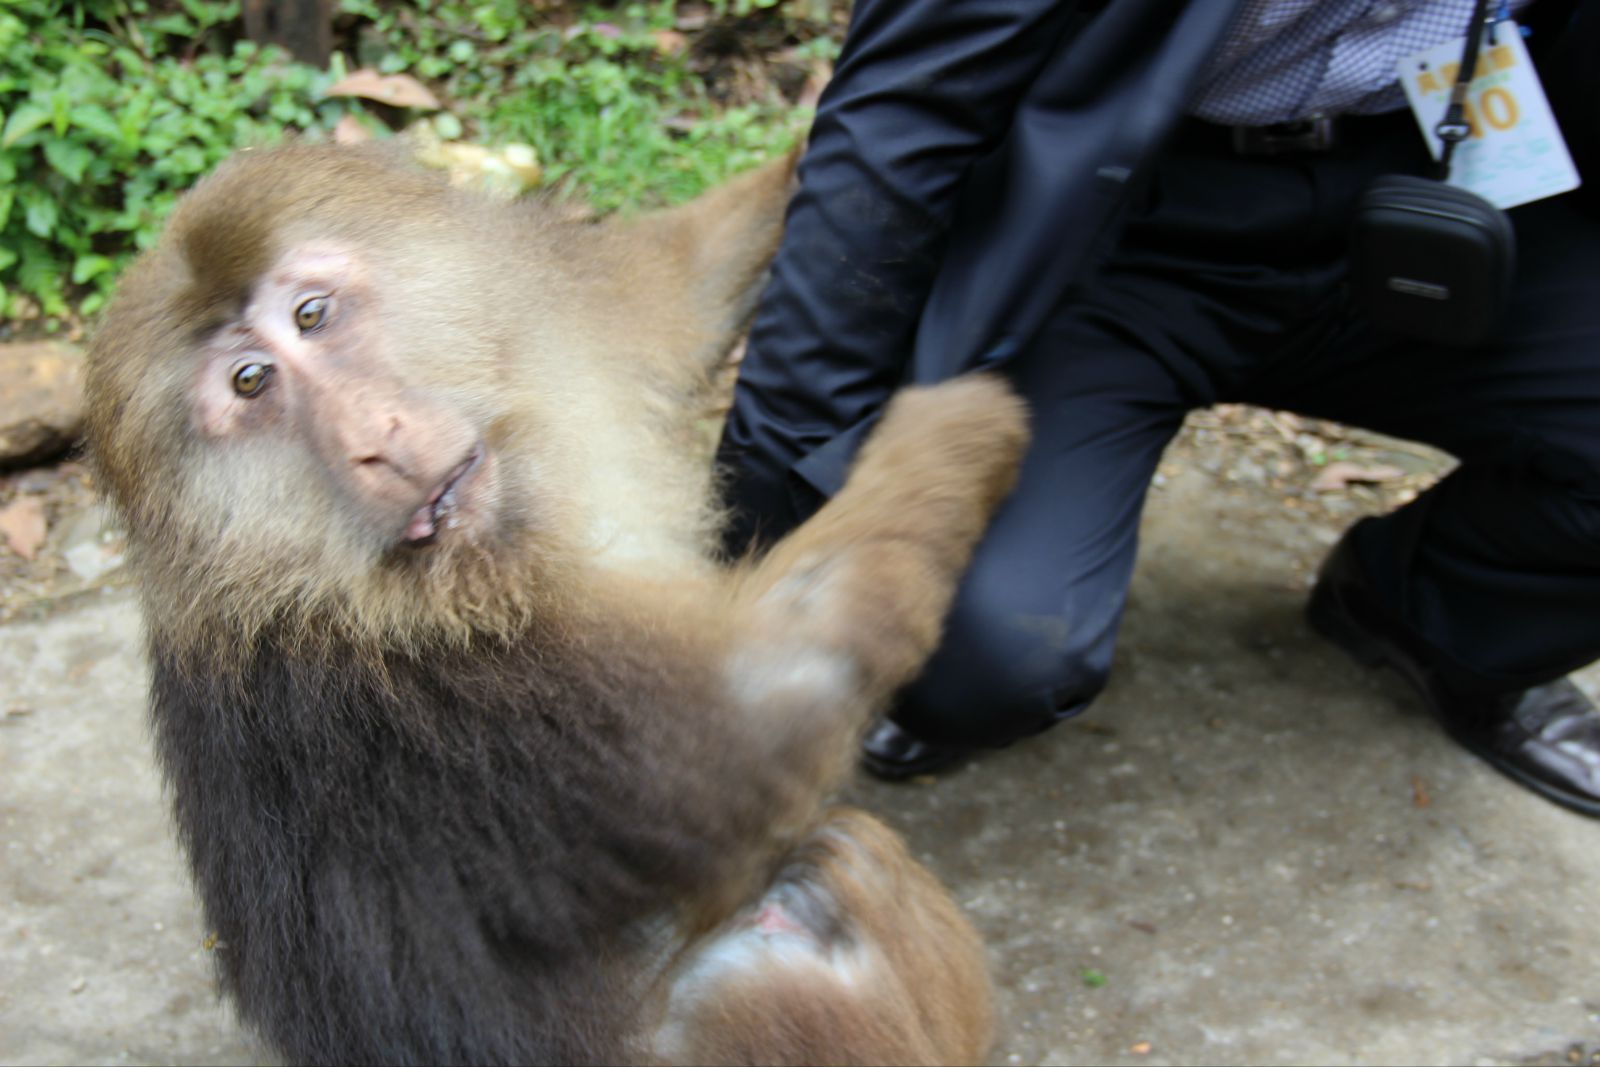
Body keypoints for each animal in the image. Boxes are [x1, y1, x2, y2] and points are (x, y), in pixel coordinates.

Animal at [84, 143, 1024, 1067]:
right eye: (250, 382)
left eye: (311, 316)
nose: (374, 440)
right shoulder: (407, 696)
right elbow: (765, 700)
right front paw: (962, 420)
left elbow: (669, 287)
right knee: (806, 901)